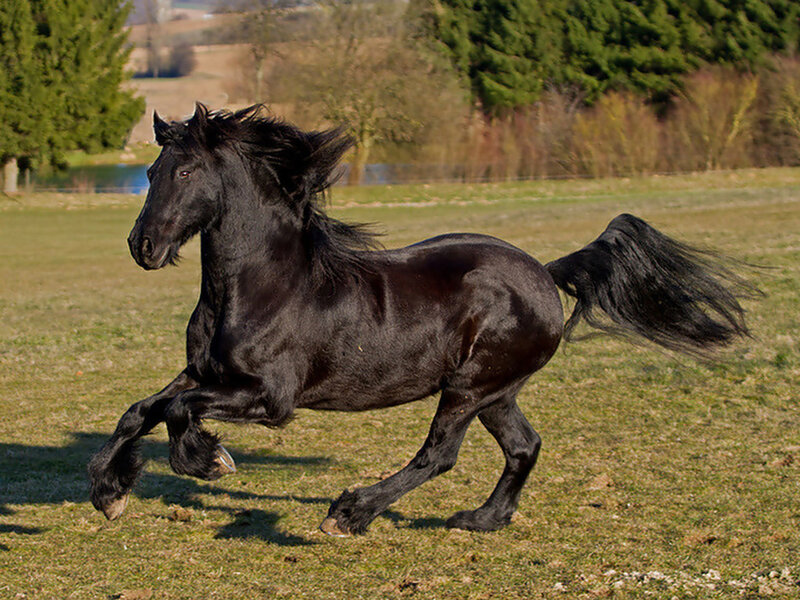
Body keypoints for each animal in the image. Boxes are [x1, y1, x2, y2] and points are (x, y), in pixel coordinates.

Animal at [88, 104, 754, 536]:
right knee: (524, 446)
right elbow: (141, 410)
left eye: (186, 172)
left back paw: (349, 513)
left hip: (468, 386)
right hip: (496, 391)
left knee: (439, 455)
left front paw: (206, 460)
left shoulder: (271, 398)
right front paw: (109, 492)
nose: (142, 246)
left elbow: (179, 411)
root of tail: (545, 272)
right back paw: (481, 520)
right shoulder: (204, 372)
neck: (264, 287)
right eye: (149, 172)